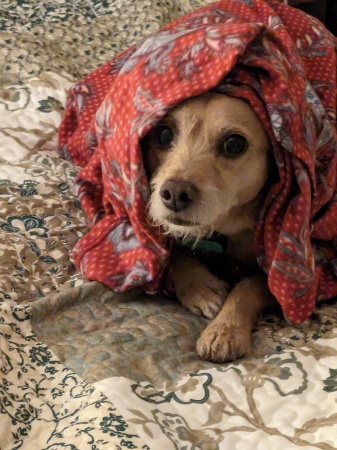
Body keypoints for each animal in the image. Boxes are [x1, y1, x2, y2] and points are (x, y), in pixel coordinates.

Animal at [140, 91, 274, 362]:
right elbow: (173, 253)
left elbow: (250, 284)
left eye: (234, 144)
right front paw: (200, 289)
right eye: (163, 134)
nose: (174, 193)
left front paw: (224, 330)